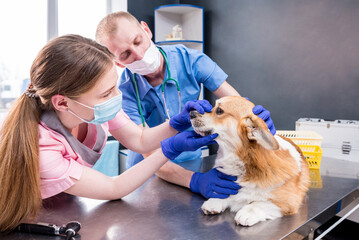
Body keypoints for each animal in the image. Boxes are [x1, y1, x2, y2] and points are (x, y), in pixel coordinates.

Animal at [190, 96, 310, 227]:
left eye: (219, 110)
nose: (191, 113)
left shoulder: (287, 202)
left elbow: (258, 204)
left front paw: (247, 212)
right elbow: (225, 192)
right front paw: (215, 200)